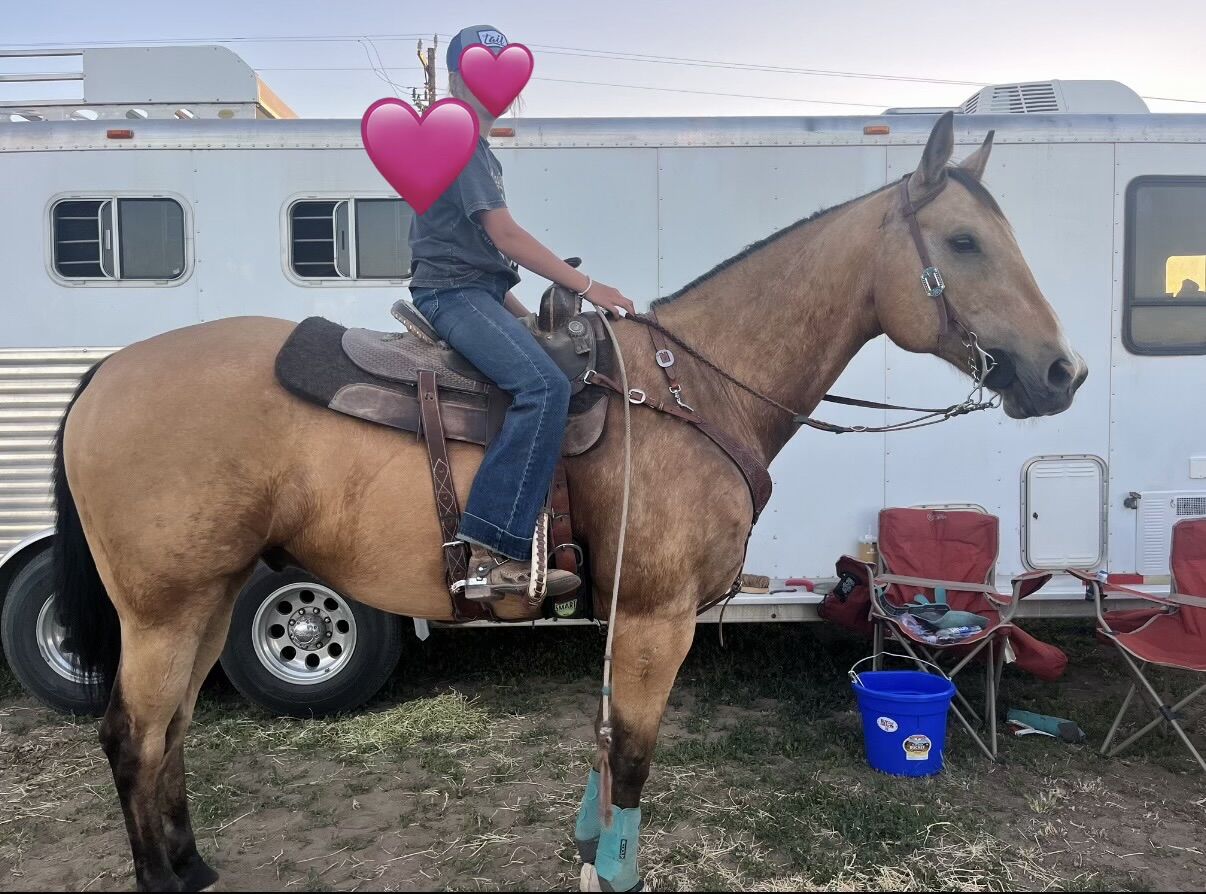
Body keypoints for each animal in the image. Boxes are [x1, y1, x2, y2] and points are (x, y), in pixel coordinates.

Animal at [52, 111, 1086, 891]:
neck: (696, 389)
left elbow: (601, 743)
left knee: (172, 733)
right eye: (963, 242)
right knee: (134, 737)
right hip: (165, 607)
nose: (1060, 372)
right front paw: (620, 870)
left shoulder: (626, 610)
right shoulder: (658, 616)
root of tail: (107, 374)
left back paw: (194, 868)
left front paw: (593, 854)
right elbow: (630, 750)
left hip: (207, 597)